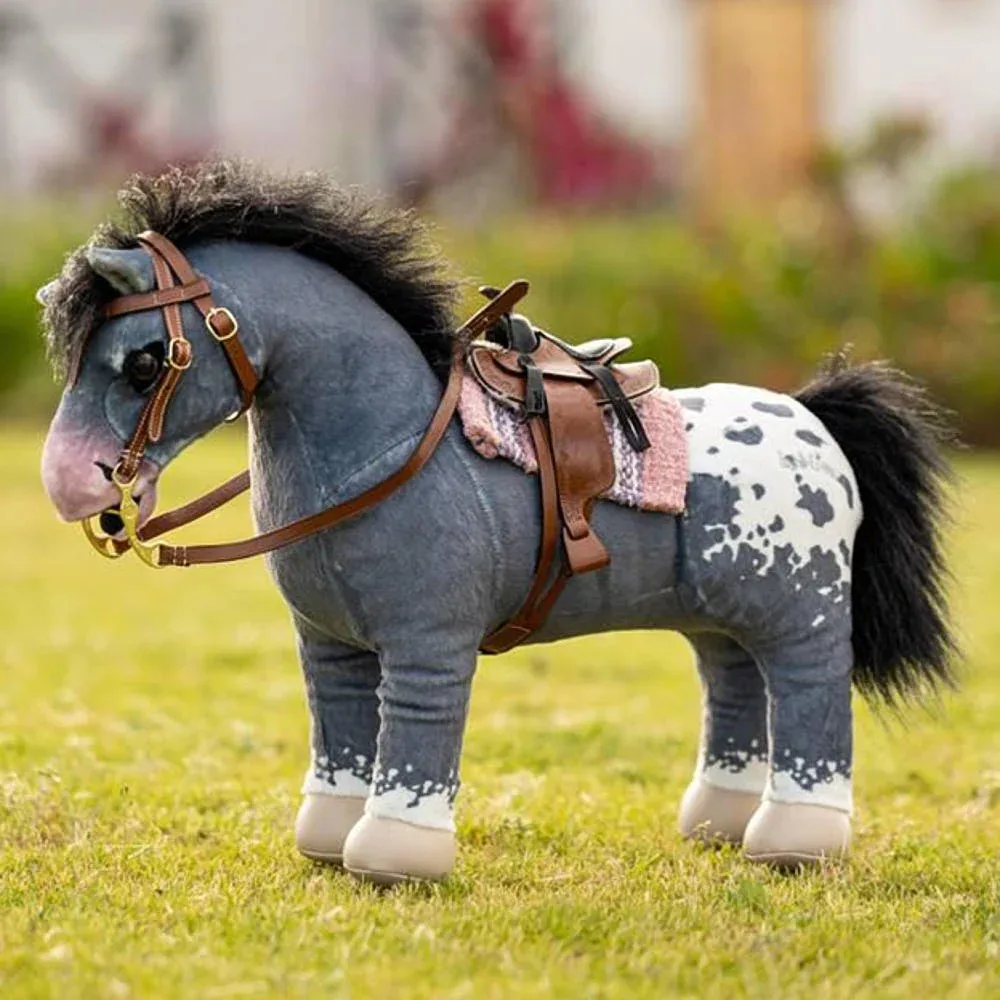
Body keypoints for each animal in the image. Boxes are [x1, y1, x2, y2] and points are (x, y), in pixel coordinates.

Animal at [38, 161, 956, 884]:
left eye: (145, 360)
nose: (67, 484)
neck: (392, 445)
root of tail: (811, 418)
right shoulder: (330, 648)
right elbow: (341, 733)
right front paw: (331, 841)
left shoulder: (427, 645)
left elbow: (414, 736)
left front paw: (394, 857)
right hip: (722, 620)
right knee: (735, 686)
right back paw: (721, 825)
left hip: (802, 617)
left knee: (811, 694)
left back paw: (796, 842)